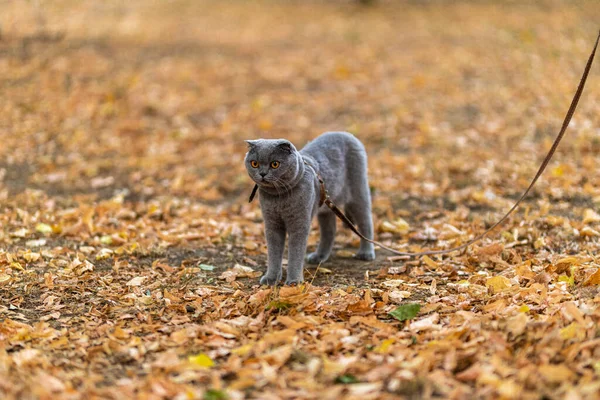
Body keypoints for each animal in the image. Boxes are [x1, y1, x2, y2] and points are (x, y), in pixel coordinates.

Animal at [244, 131, 376, 284]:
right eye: (254, 163)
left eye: (275, 164)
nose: (262, 174)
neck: (279, 197)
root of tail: (346, 134)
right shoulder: (271, 223)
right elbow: (273, 253)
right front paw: (271, 278)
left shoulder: (299, 222)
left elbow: (296, 252)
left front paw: (294, 282)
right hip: (326, 206)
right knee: (329, 231)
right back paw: (319, 257)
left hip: (358, 193)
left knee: (365, 222)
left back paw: (366, 253)